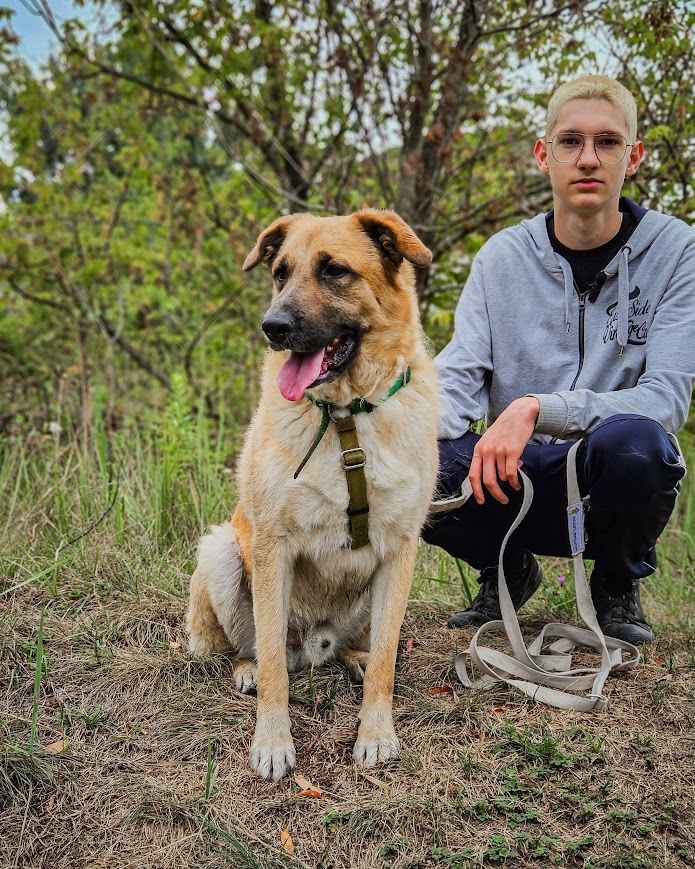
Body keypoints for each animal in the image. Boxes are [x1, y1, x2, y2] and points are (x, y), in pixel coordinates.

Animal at [185, 210, 438, 780]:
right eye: (280, 273)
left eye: (335, 271)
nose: (272, 327)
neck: (346, 418)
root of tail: (315, 646)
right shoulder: (273, 545)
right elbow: (275, 666)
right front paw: (273, 742)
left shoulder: (400, 551)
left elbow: (387, 659)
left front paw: (376, 733)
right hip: (222, 552)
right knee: (258, 649)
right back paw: (247, 668)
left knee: (358, 649)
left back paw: (353, 658)